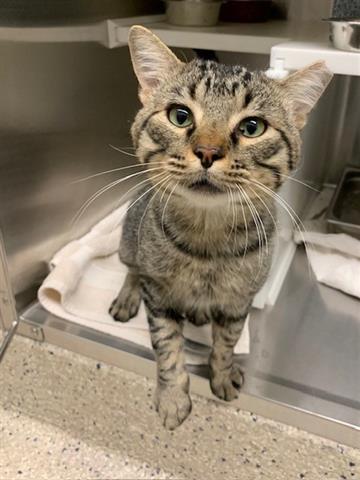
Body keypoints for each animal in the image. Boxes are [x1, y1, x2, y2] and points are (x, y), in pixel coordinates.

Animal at [109, 26, 332, 430]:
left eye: (252, 127)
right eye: (180, 116)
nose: (208, 152)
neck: (207, 239)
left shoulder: (239, 301)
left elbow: (227, 343)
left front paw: (223, 375)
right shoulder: (159, 299)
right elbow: (168, 349)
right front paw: (172, 397)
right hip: (128, 242)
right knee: (133, 269)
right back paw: (127, 295)